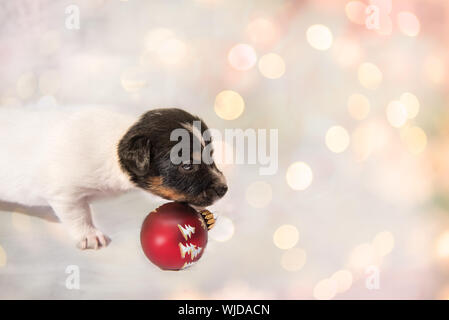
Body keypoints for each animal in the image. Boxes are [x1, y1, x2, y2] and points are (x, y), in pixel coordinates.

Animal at [0, 107, 226, 250]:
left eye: (211, 155)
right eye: (187, 166)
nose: (224, 189)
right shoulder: (66, 194)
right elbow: (79, 215)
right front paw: (89, 235)